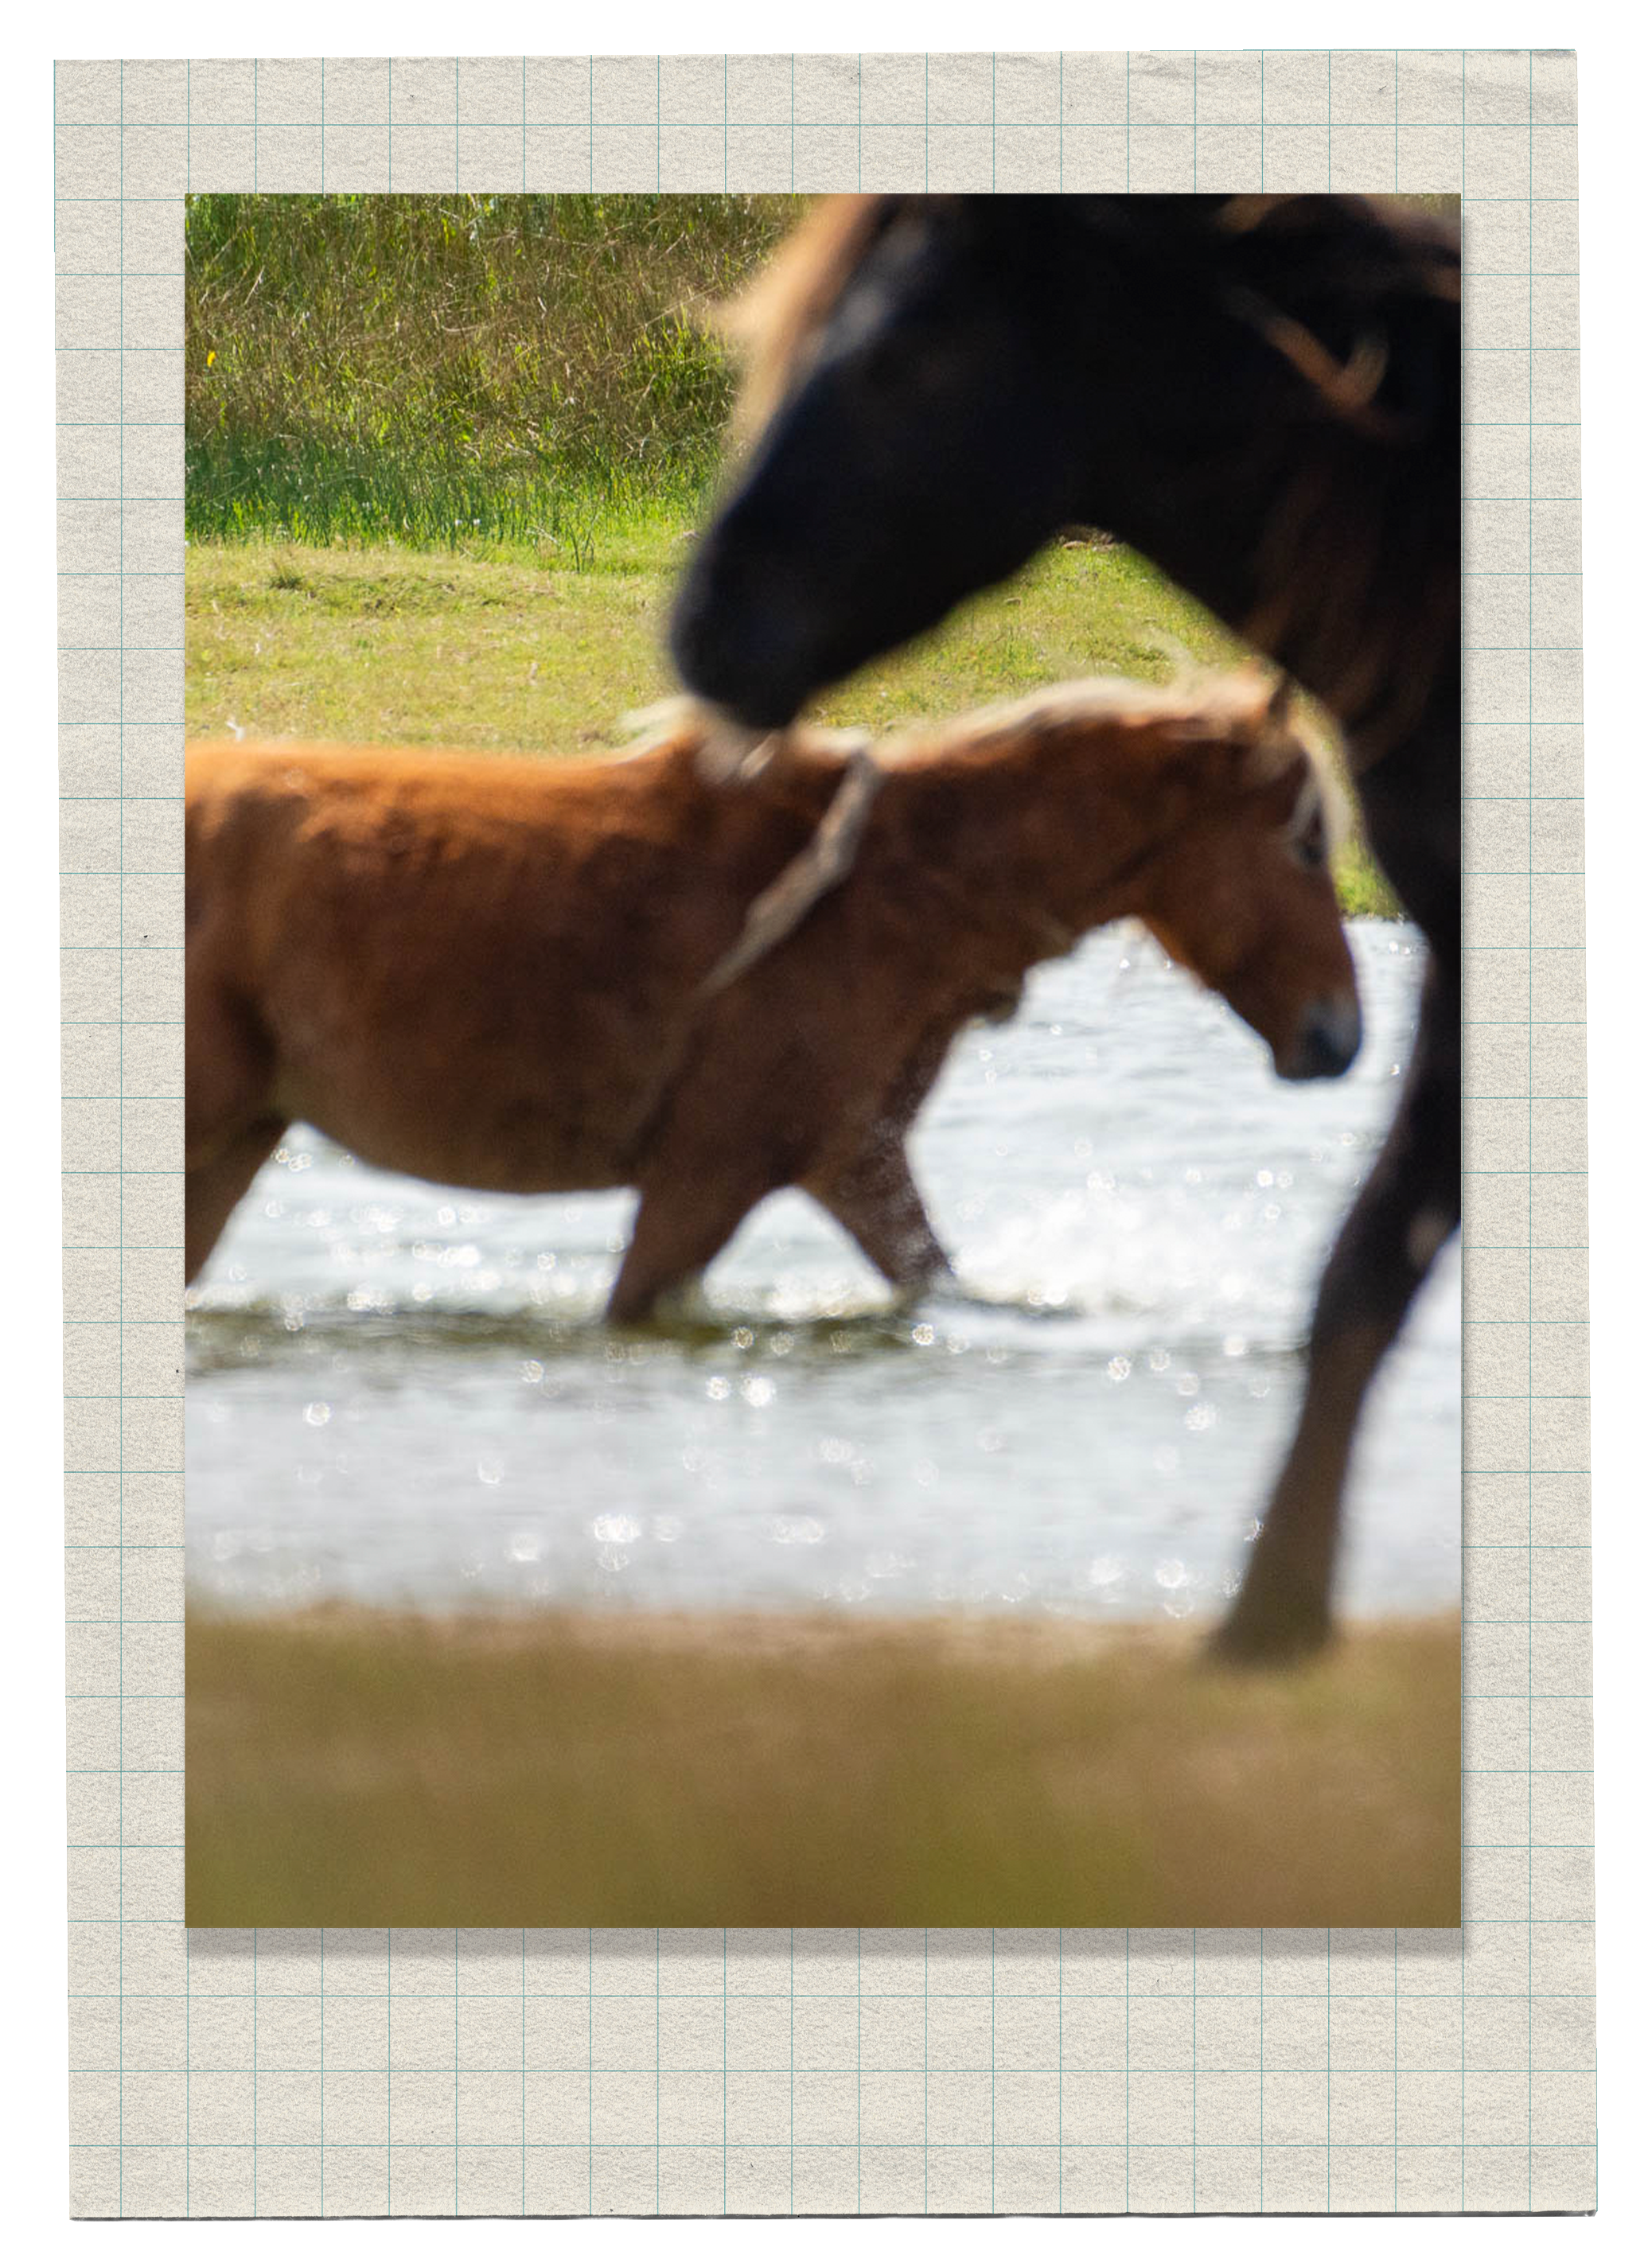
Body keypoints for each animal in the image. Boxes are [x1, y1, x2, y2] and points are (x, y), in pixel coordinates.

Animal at [184, 671, 1359, 1323]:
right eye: (1306, 843)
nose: (1341, 1036)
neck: (887, 894)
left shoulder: (856, 1164)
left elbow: (949, 1287)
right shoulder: (709, 1176)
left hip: (237, 1140)